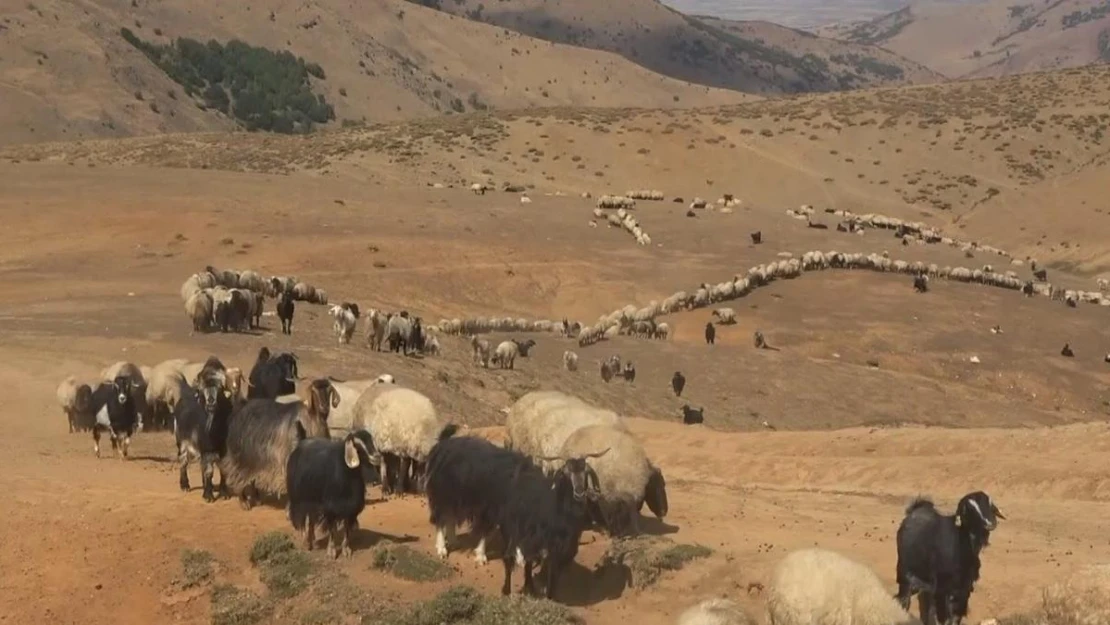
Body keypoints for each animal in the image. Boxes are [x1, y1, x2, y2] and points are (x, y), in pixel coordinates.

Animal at [172, 366, 233, 503]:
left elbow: (223, 471)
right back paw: (185, 485)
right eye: (202, 390)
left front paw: (224, 493)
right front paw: (208, 496)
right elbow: (209, 471)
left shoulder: (224, 452)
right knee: (183, 461)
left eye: (220, 389)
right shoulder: (207, 450)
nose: (211, 402)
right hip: (182, 443)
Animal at [217, 379, 335, 510]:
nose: (324, 407)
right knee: (235, 473)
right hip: (241, 455)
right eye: (313, 390)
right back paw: (244, 502)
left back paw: (257, 499)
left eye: (329, 390)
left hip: (255, 456)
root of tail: (240, 407)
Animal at [286, 428, 381, 559]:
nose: (376, 457)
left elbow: (347, 529)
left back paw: (311, 539)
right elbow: (331, 530)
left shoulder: (350, 509)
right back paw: (306, 542)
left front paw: (346, 550)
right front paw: (331, 551)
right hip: (299, 498)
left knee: (311, 518)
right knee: (302, 517)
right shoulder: (330, 507)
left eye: (371, 440)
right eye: (357, 445)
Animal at [892, 490, 1007, 625]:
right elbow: (943, 617)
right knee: (904, 600)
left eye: (989, 503)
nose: (990, 523)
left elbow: (955, 616)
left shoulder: (963, 591)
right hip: (905, 575)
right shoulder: (942, 590)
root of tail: (917, 509)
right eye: (968, 509)